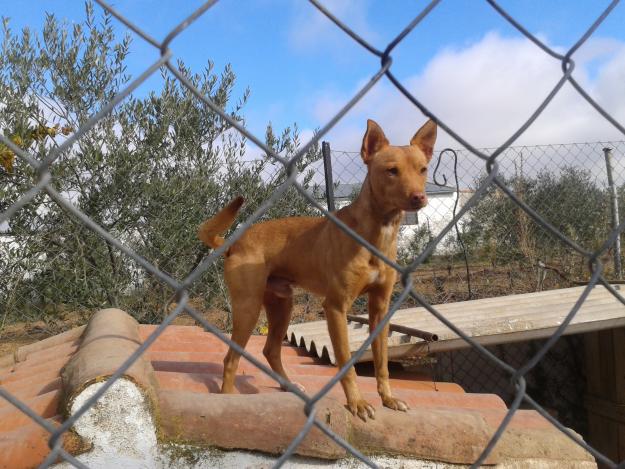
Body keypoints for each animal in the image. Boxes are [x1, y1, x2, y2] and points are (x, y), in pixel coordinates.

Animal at [199, 119, 434, 418]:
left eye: (422, 169)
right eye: (391, 170)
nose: (419, 198)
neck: (375, 234)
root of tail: (234, 242)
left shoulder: (380, 309)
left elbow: (382, 363)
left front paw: (388, 399)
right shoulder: (335, 307)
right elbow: (346, 364)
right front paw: (357, 403)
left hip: (281, 306)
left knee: (270, 350)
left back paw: (289, 386)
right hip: (248, 307)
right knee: (230, 359)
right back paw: (228, 399)